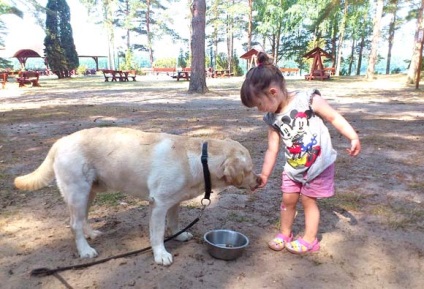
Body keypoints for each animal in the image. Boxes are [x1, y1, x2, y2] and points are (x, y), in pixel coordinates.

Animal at [14, 127, 258, 264]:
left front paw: (178, 235)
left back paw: (91, 234)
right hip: (78, 192)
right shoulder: (159, 205)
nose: (259, 181)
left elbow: (174, 223)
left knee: (82, 220)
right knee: (74, 224)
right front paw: (160, 254)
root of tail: (60, 142)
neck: (201, 159)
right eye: (249, 170)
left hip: (89, 192)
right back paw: (85, 251)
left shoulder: (174, 203)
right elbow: (157, 234)